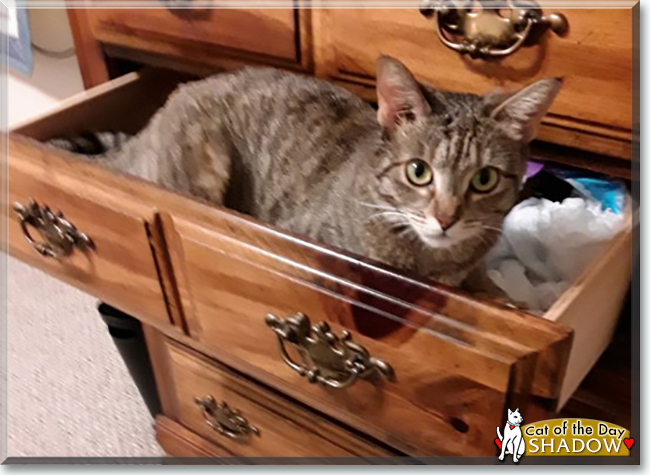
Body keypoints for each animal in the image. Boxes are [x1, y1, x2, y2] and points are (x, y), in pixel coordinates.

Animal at [49, 56, 556, 294]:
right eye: (419, 171)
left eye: (484, 179)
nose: (447, 219)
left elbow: (485, 281)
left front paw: (500, 293)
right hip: (205, 165)